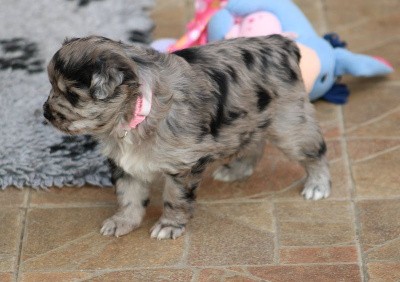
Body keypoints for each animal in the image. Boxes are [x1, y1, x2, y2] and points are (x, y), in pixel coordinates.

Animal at [43, 34, 332, 239]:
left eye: (72, 95)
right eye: (51, 86)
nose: (45, 113)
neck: (135, 113)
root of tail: (281, 43)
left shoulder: (184, 164)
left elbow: (175, 198)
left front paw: (169, 226)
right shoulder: (125, 164)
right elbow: (129, 196)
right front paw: (123, 222)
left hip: (290, 124)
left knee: (315, 151)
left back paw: (318, 185)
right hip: (250, 118)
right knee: (254, 143)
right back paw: (237, 169)